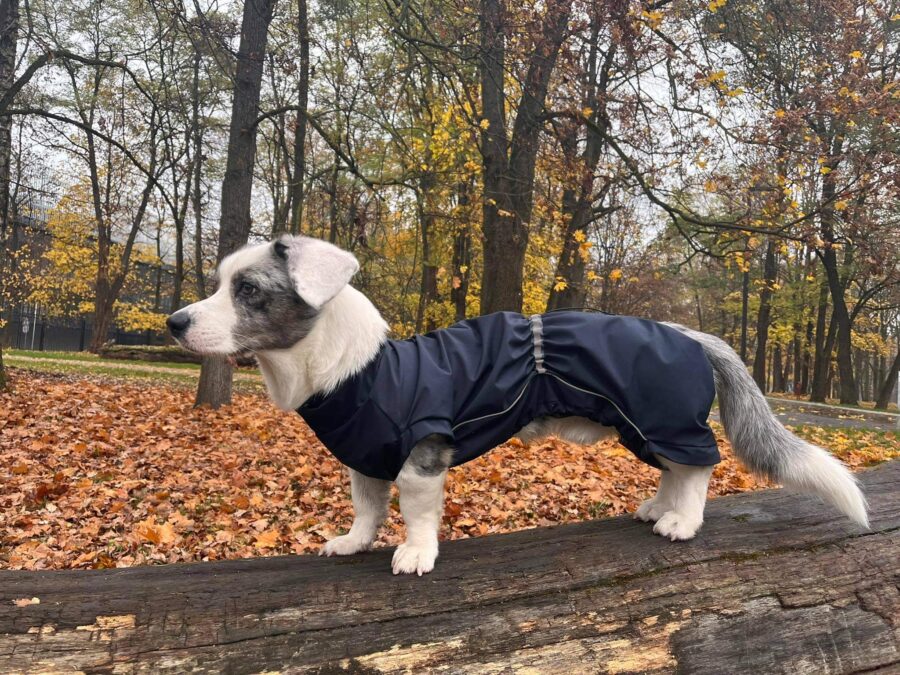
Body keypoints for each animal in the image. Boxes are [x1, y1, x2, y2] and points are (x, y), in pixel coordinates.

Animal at [167, 236, 864, 576]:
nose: (174, 323)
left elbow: (415, 517)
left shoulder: (421, 459)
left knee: (697, 471)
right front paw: (353, 542)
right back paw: (656, 509)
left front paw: (415, 555)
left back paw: (681, 523)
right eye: (221, 282)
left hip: (661, 421)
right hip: (643, 429)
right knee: (676, 470)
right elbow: (366, 510)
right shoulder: (365, 462)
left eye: (248, 290)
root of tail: (688, 333)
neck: (355, 370)